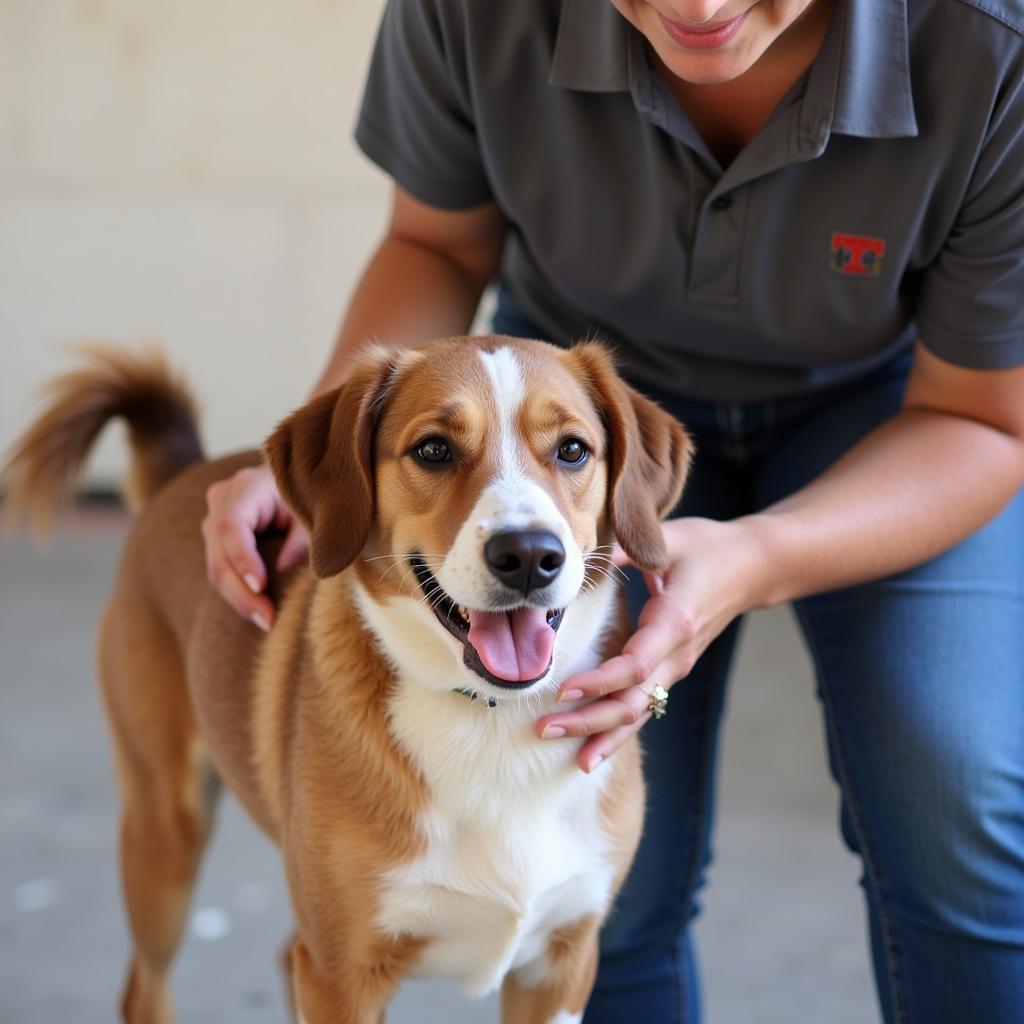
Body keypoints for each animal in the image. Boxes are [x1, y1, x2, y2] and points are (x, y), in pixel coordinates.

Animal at [4, 337, 692, 1024]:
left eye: (572, 449)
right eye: (434, 450)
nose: (527, 555)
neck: (491, 718)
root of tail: (186, 473)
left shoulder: (561, 967)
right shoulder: (342, 975)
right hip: (165, 836)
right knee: (144, 988)